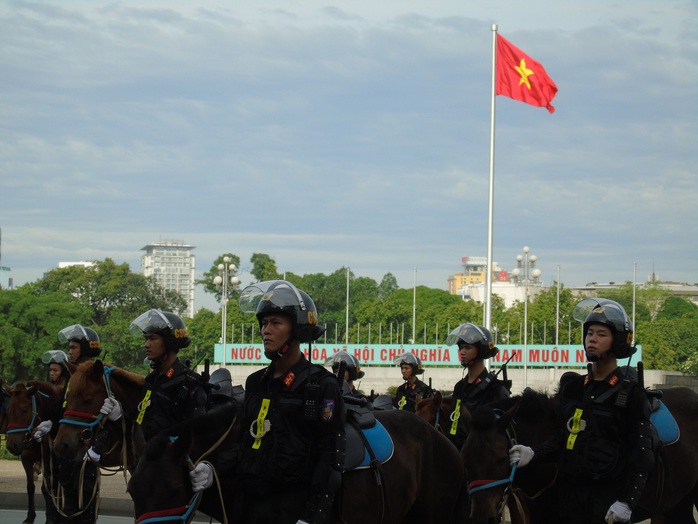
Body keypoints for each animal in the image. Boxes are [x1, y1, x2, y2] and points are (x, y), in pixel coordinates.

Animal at [4, 380, 62, 524]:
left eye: (24, 410)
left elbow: (46, 488)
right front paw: (30, 517)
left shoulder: (47, 460)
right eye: (7, 411)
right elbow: (30, 487)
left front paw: (49, 517)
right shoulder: (26, 459)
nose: (12, 445)